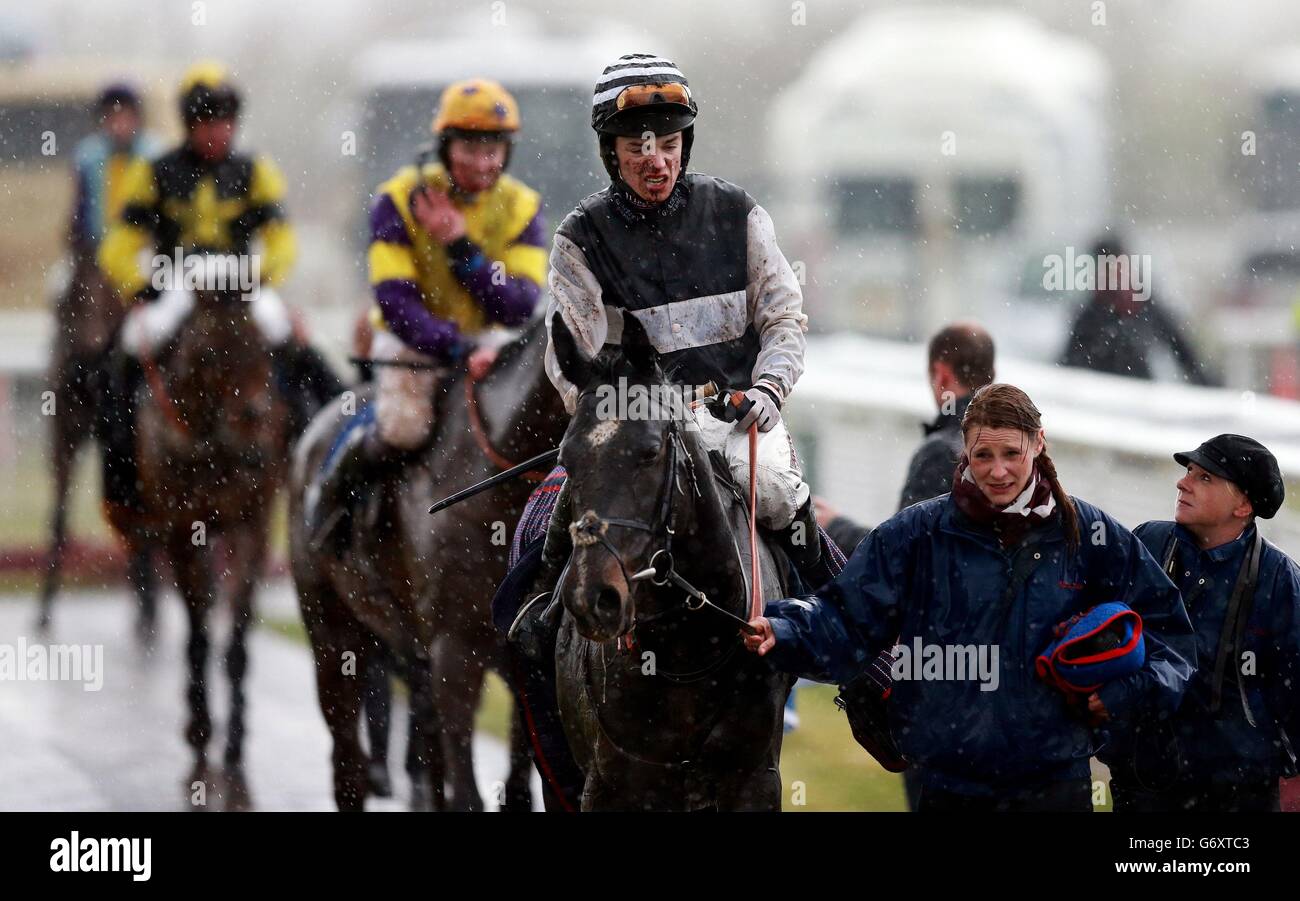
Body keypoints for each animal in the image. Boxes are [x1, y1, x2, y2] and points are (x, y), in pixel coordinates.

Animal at [292, 319, 566, 811]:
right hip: (331, 632)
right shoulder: (455, 652)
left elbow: (519, 788)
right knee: (348, 765)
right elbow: (468, 795)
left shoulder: (524, 664)